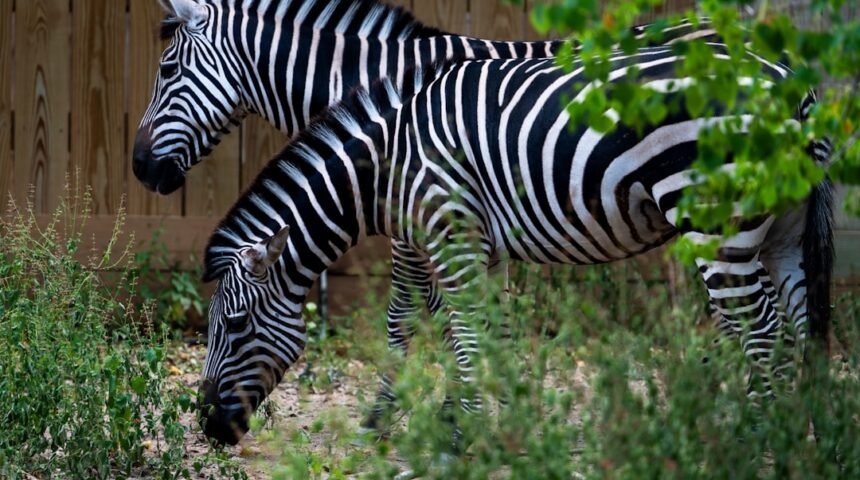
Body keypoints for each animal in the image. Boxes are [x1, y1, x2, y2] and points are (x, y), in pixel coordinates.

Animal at [196, 52, 833, 446]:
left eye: (234, 324)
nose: (207, 426)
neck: (388, 160)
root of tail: (790, 83)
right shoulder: (480, 243)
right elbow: (486, 334)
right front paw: (500, 422)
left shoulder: (447, 234)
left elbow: (441, 331)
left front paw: (455, 433)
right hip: (785, 231)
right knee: (802, 328)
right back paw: (806, 437)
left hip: (719, 226)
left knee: (764, 334)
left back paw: (754, 438)